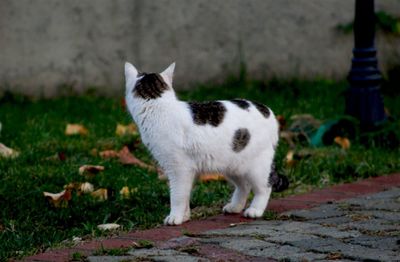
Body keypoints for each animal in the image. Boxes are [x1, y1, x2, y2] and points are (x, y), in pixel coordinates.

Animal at [125, 62, 288, 225]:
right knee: (244, 186)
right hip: (232, 164)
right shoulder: (189, 171)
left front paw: (175, 217)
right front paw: (185, 217)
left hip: (256, 166)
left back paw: (255, 210)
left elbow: (177, 196)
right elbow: (186, 196)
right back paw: (235, 207)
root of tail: (267, 110)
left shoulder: (179, 169)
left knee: (265, 187)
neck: (159, 106)